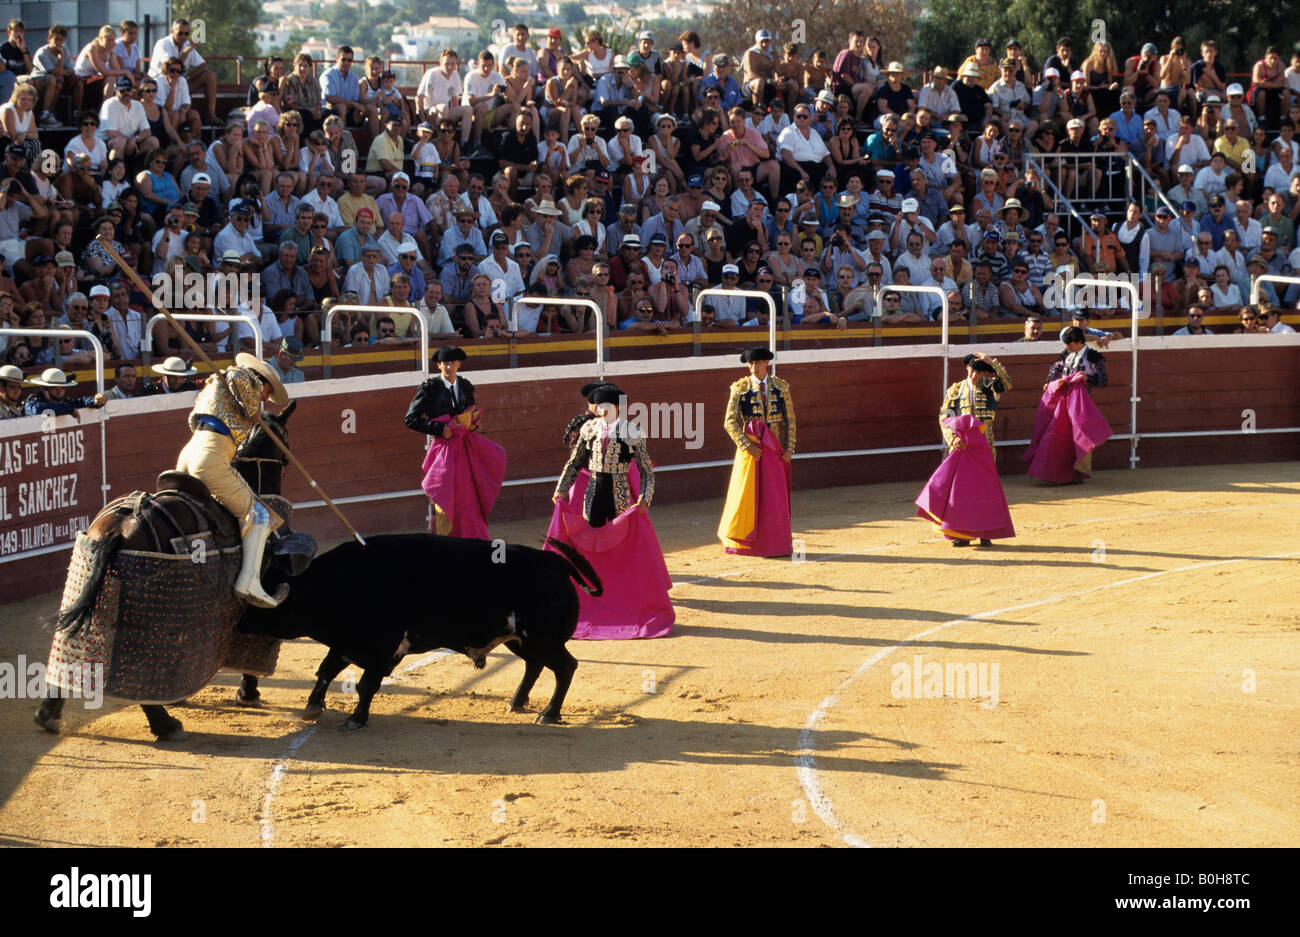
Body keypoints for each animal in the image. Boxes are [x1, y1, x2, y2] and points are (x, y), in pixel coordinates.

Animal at [240, 532, 603, 722]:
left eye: (270, 596)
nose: (241, 622)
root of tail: (553, 560)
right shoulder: (346, 644)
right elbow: (325, 671)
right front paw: (313, 705)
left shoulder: (381, 649)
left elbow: (366, 685)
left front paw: (356, 719)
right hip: (519, 639)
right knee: (535, 665)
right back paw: (517, 702)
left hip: (544, 639)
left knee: (565, 667)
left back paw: (550, 713)